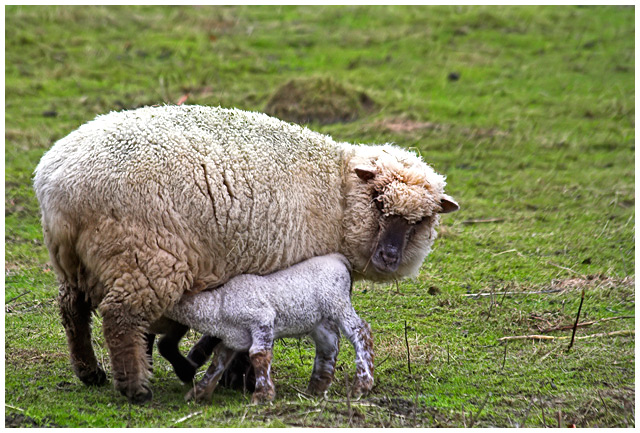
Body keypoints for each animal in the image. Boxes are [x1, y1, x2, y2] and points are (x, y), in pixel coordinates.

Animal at [152, 251, 372, 404]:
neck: (219, 303)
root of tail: (338, 259)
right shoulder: (233, 338)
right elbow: (218, 362)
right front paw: (198, 393)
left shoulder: (261, 319)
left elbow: (258, 354)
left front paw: (263, 395)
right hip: (318, 317)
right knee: (329, 343)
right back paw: (316, 387)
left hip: (337, 302)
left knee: (361, 330)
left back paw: (362, 384)